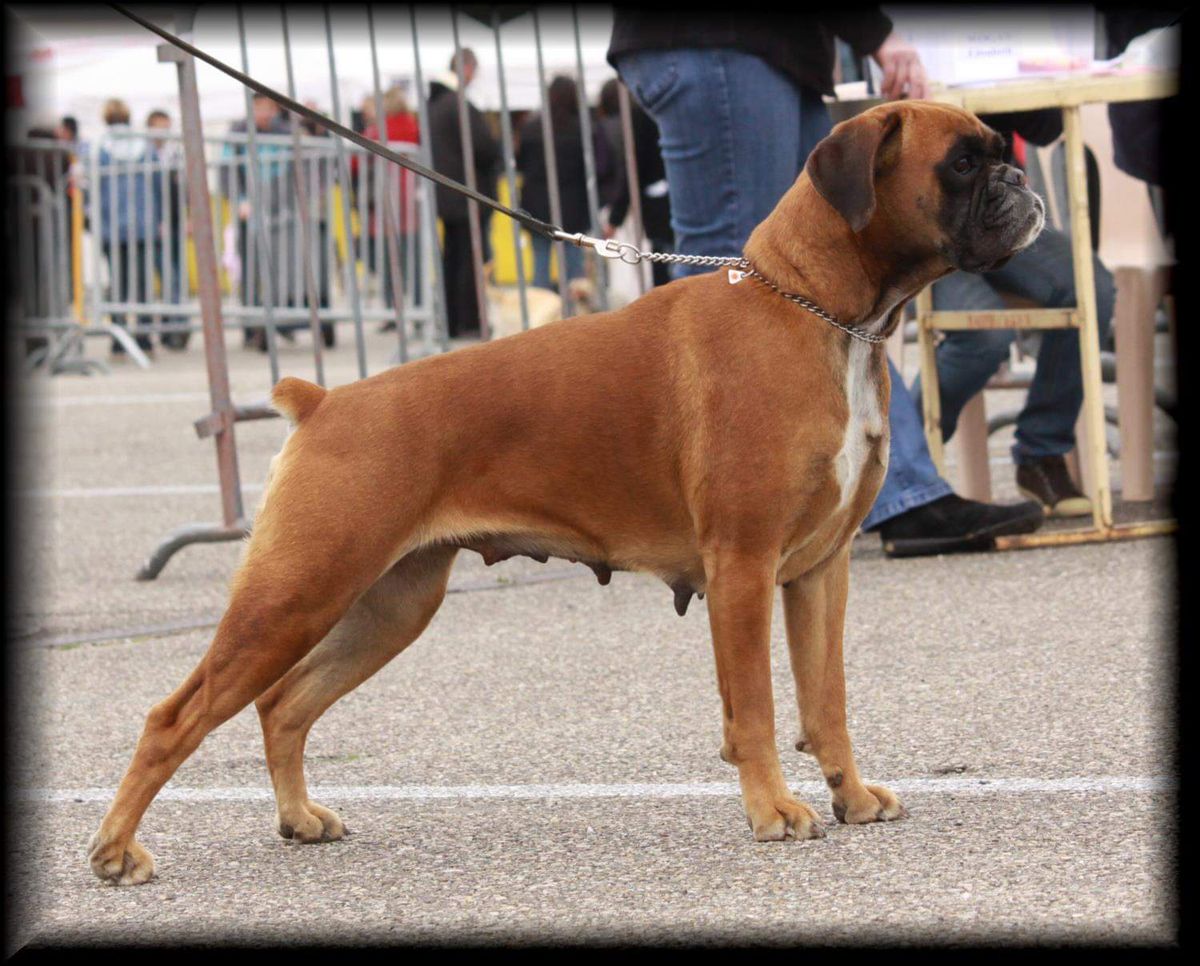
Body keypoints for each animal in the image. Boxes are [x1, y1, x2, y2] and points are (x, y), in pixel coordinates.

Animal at [87, 103, 1041, 883]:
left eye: (997, 153)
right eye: (962, 162)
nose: (1021, 179)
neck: (820, 310)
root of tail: (325, 401)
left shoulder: (817, 573)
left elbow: (825, 699)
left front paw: (851, 795)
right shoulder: (743, 568)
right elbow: (759, 707)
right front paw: (773, 808)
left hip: (386, 607)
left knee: (284, 705)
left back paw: (296, 818)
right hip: (295, 594)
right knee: (176, 716)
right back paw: (116, 850)